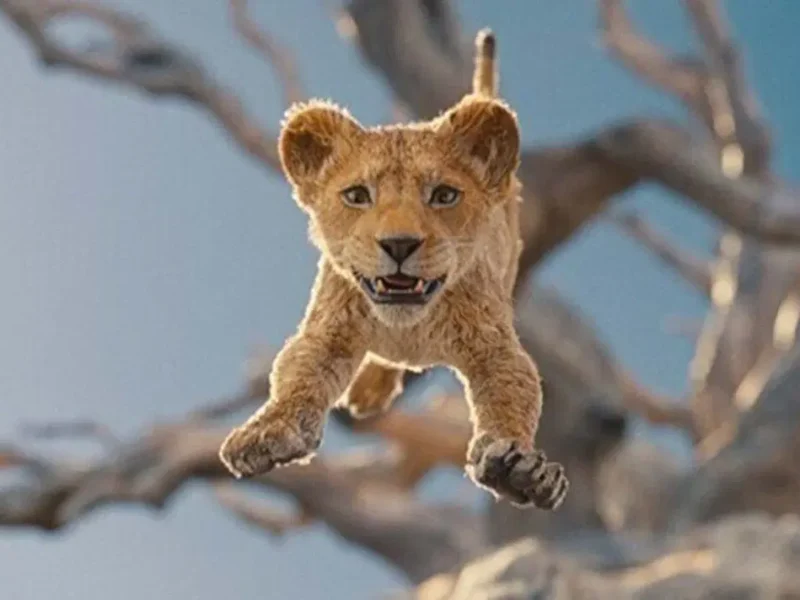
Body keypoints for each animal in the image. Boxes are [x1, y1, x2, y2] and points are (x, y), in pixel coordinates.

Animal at [219, 29, 569, 510]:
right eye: (357, 195)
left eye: (444, 195)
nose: (399, 244)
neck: (408, 326)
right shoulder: (327, 331)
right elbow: (296, 376)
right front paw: (267, 432)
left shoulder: (495, 348)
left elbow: (512, 396)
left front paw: (520, 471)